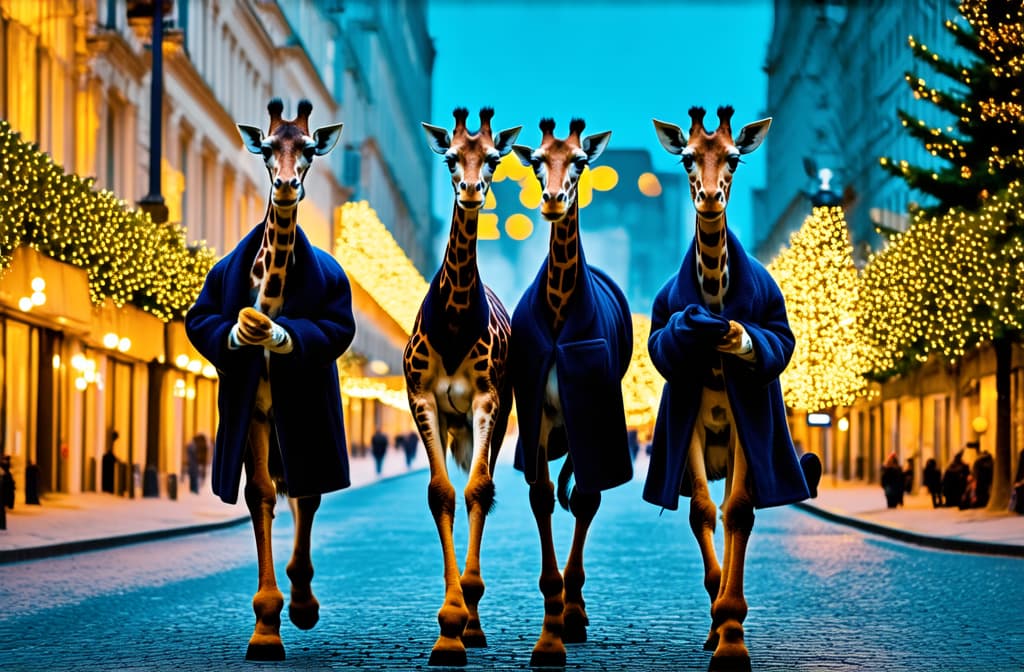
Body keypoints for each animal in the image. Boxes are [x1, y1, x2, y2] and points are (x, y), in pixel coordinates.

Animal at [192, 97, 348, 659]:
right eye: (265, 149)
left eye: (307, 149)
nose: (285, 185)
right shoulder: (256, 411)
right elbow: (259, 493)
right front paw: (264, 624)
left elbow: (304, 493)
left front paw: (296, 607)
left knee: (308, 491)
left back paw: (304, 600)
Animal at [647, 107, 823, 667]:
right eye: (686, 157)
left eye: (733, 158)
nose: (709, 198)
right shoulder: (694, 433)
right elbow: (703, 512)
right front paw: (719, 626)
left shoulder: (748, 430)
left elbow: (741, 514)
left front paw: (733, 637)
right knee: (710, 513)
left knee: (733, 511)